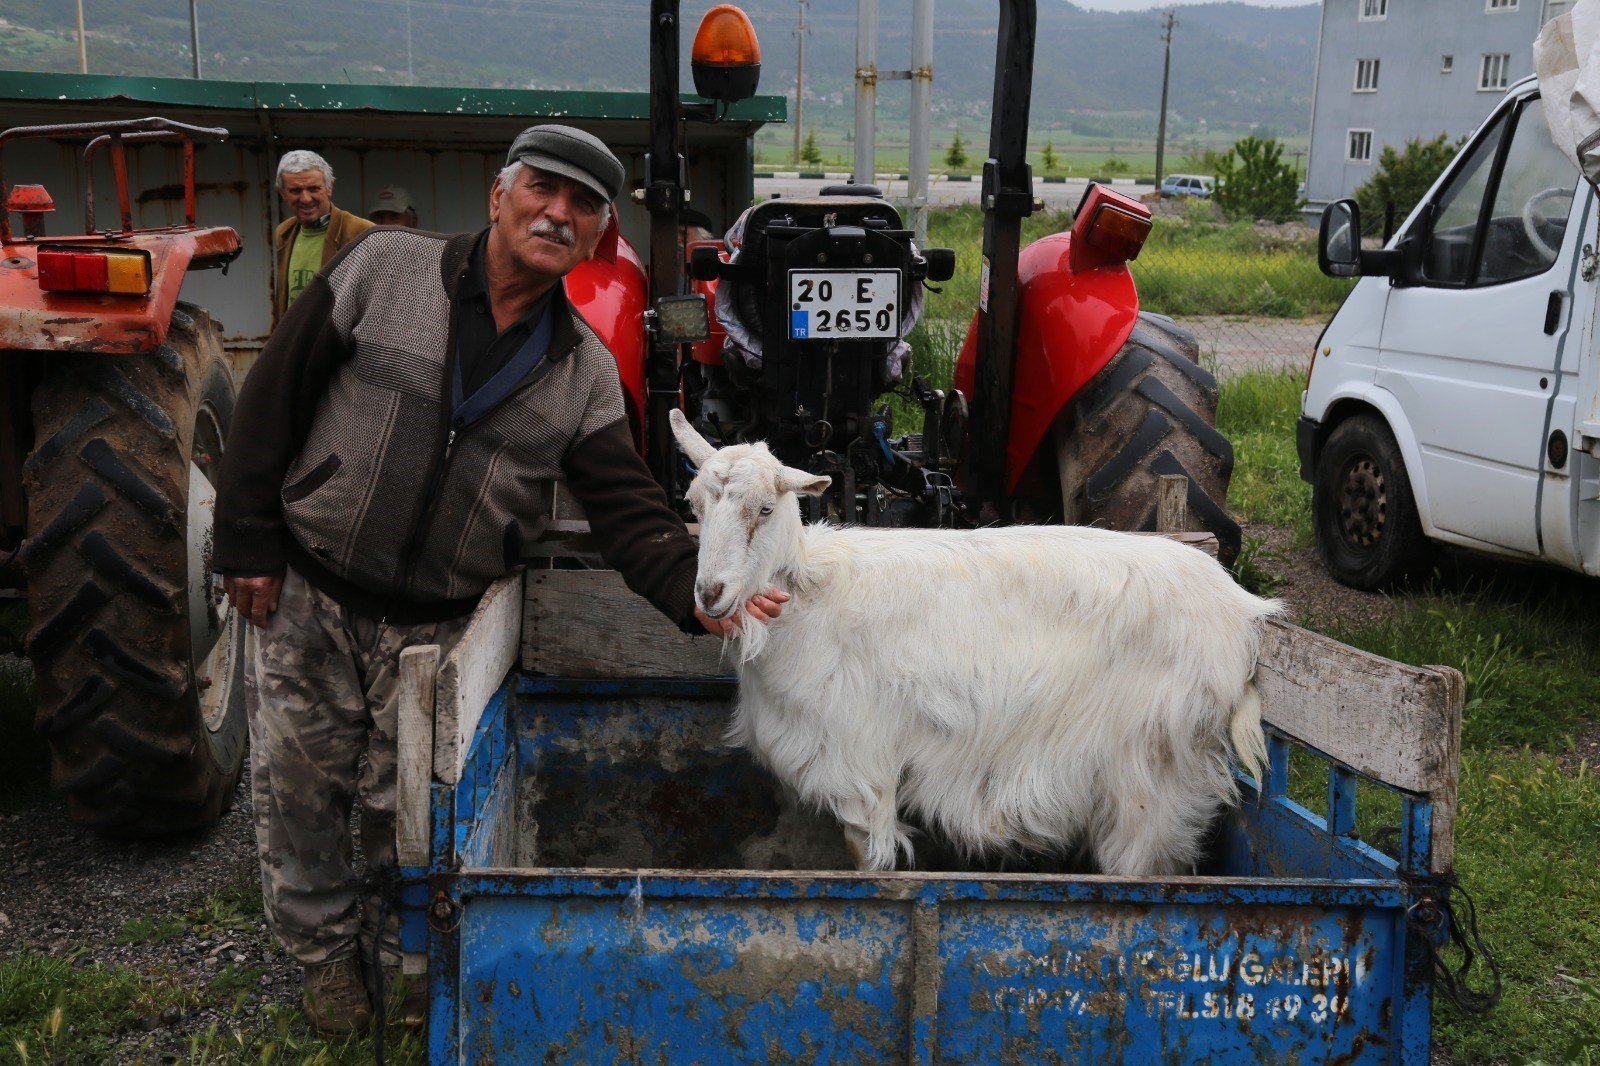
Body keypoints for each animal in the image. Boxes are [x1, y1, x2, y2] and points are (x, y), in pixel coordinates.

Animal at [668, 409, 1280, 877]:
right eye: (695, 507)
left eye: (765, 509)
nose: (709, 594)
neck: (811, 593)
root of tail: (1245, 612)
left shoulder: (858, 759)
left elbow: (864, 855)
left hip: (1154, 768)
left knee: (1146, 861)